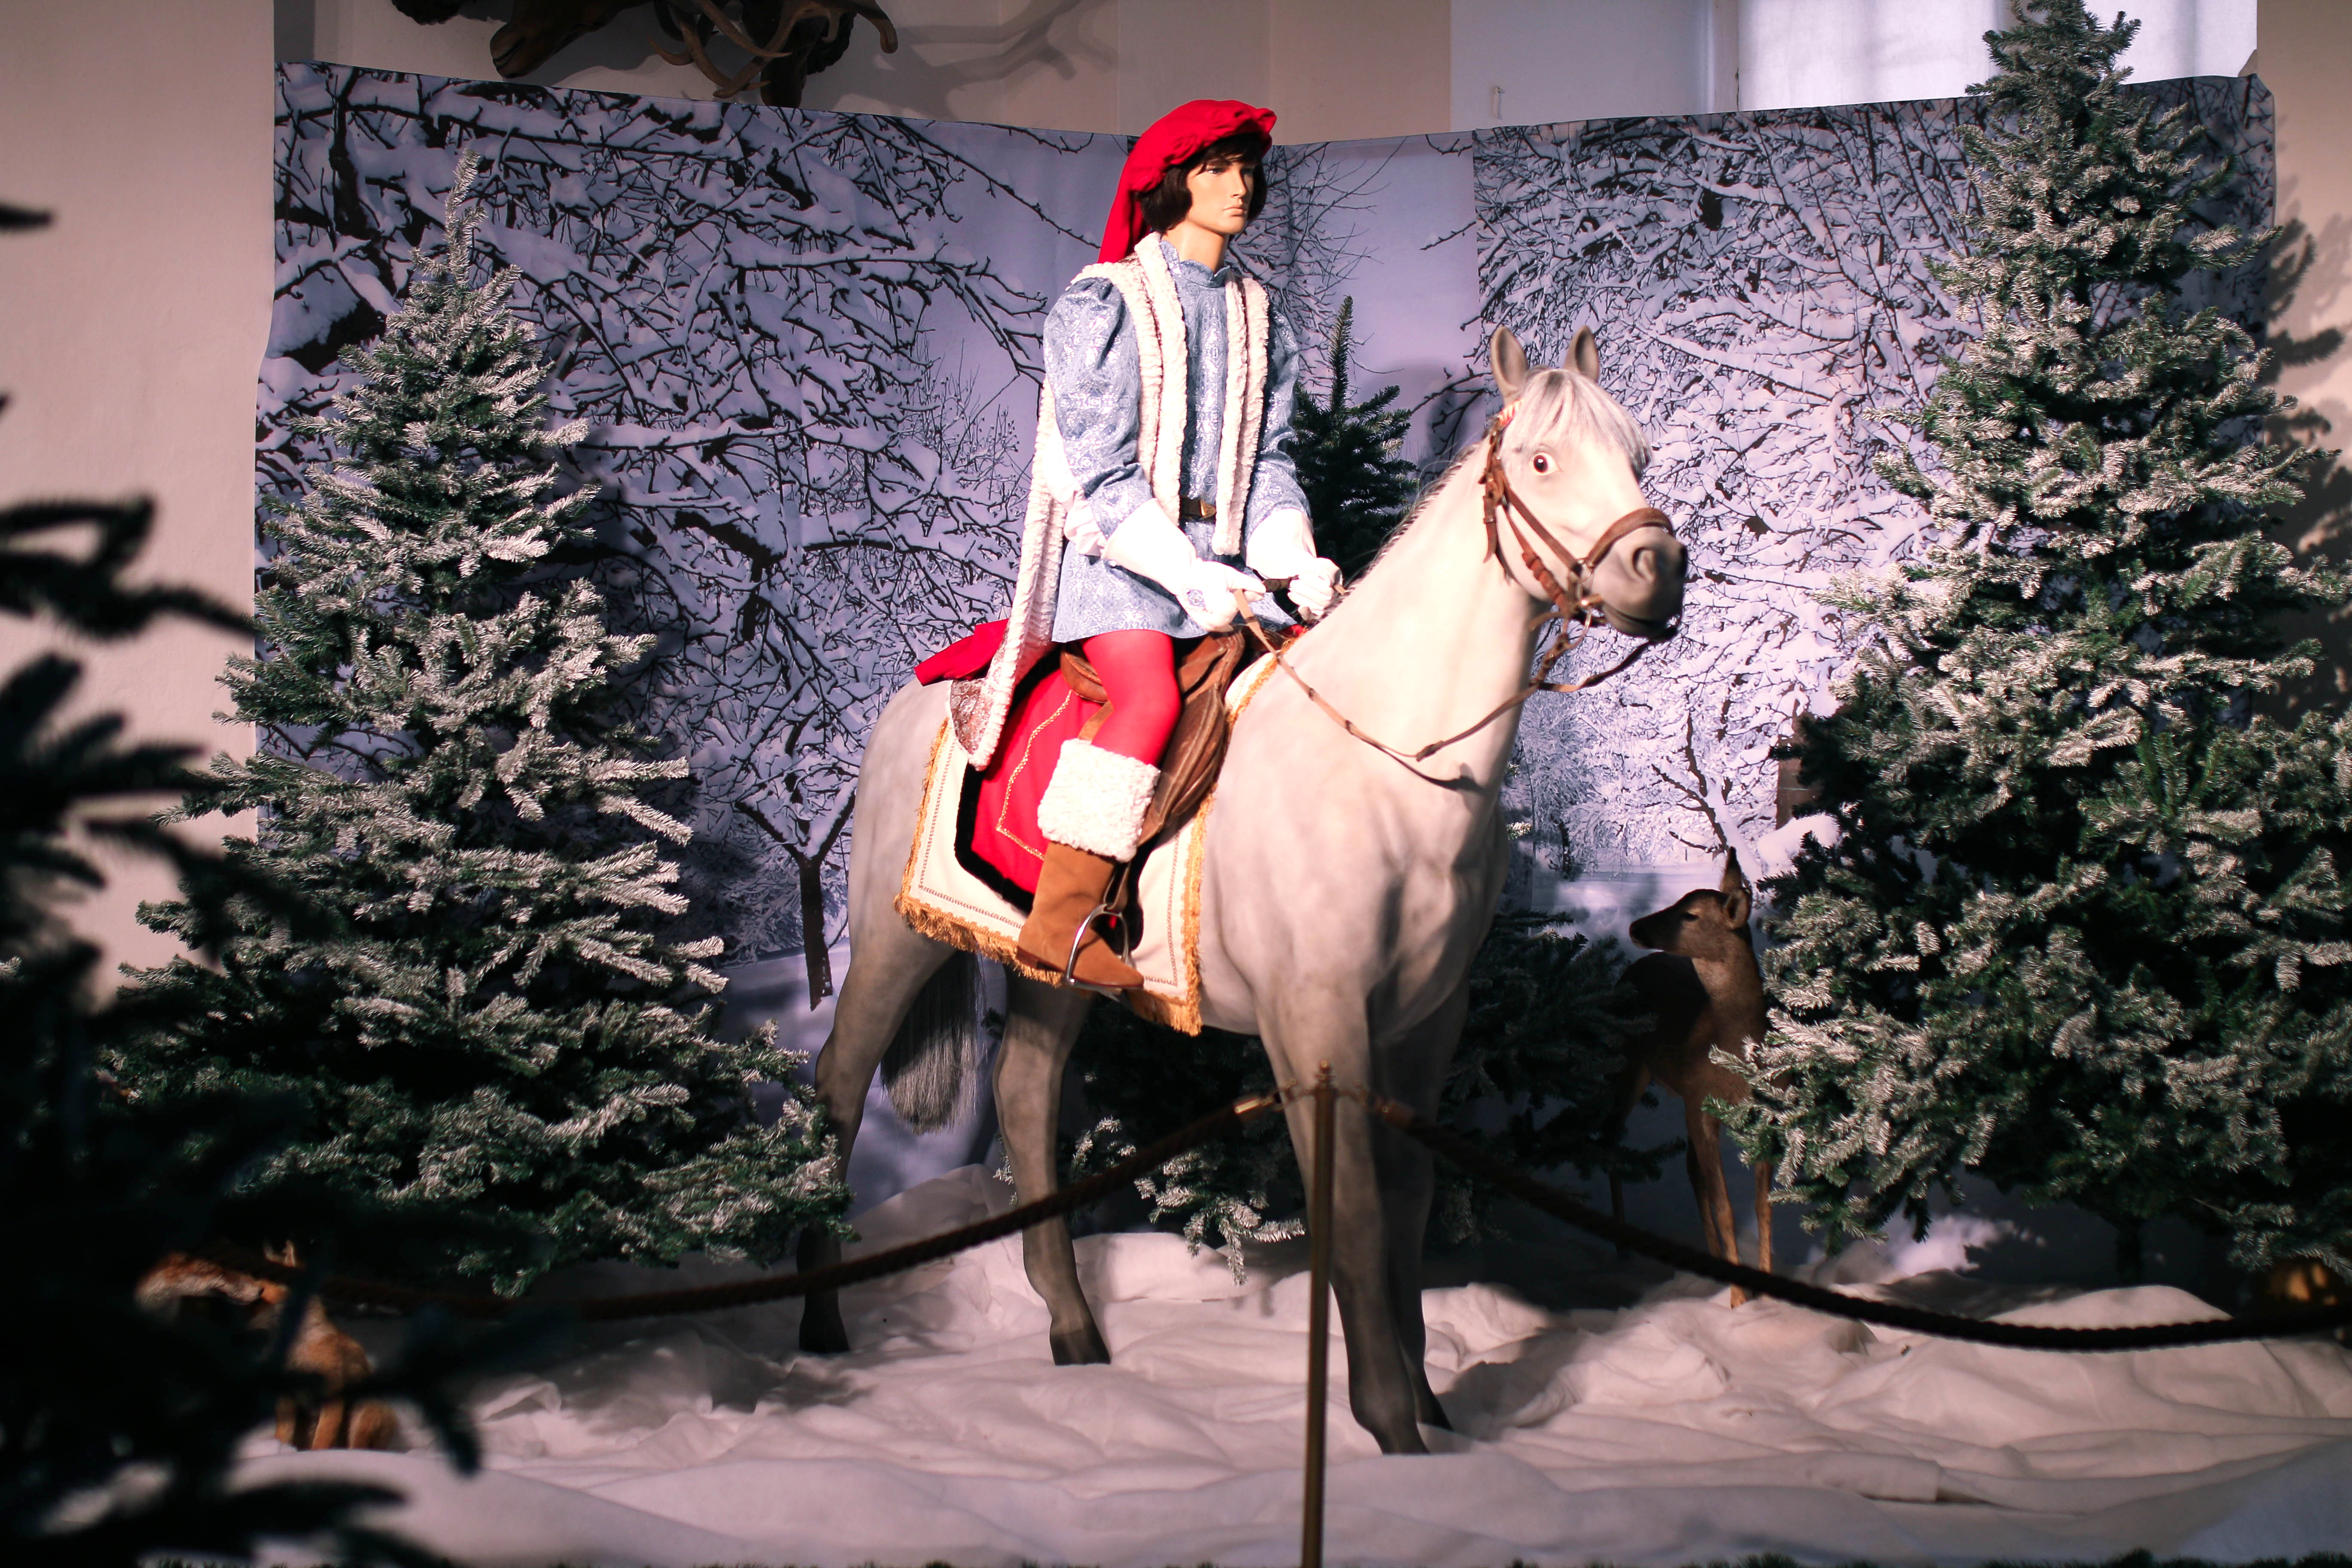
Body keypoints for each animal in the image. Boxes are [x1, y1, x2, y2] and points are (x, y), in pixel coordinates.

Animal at [139, 1241, 397, 1457]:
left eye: (261, 1298)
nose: (231, 1326)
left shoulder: (331, 1398)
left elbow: (322, 1442)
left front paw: (315, 1462)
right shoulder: (286, 1401)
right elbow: (282, 1436)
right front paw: (276, 1456)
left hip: (362, 1416)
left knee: (357, 1448)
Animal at [799, 331, 1684, 1457]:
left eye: (1638, 456)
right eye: (1540, 460)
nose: (1661, 571)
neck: (1390, 764)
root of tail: (924, 691)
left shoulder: (1425, 1026)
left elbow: (1408, 1196)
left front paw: (1432, 1409)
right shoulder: (1314, 1025)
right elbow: (1351, 1213)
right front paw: (1391, 1430)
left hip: (1054, 971)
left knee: (1026, 1095)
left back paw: (1073, 1333)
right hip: (894, 941)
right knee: (837, 1087)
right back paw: (821, 1322)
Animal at [1608, 851, 1768, 1307]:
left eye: (1691, 914)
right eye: (1677, 902)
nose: (1636, 927)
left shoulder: (1764, 1114)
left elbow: (1762, 1205)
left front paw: (1768, 1295)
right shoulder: (1703, 1106)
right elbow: (1726, 1207)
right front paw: (1739, 1302)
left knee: (1689, 1166)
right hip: (1627, 1065)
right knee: (1609, 1141)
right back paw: (1622, 1248)